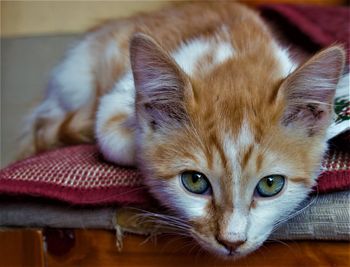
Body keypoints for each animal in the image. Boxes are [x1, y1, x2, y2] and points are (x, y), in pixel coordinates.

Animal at [19, 2, 344, 260]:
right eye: (194, 182)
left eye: (270, 185)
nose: (232, 241)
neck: (234, 60)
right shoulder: (113, 101)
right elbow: (115, 136)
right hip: (76, 80)